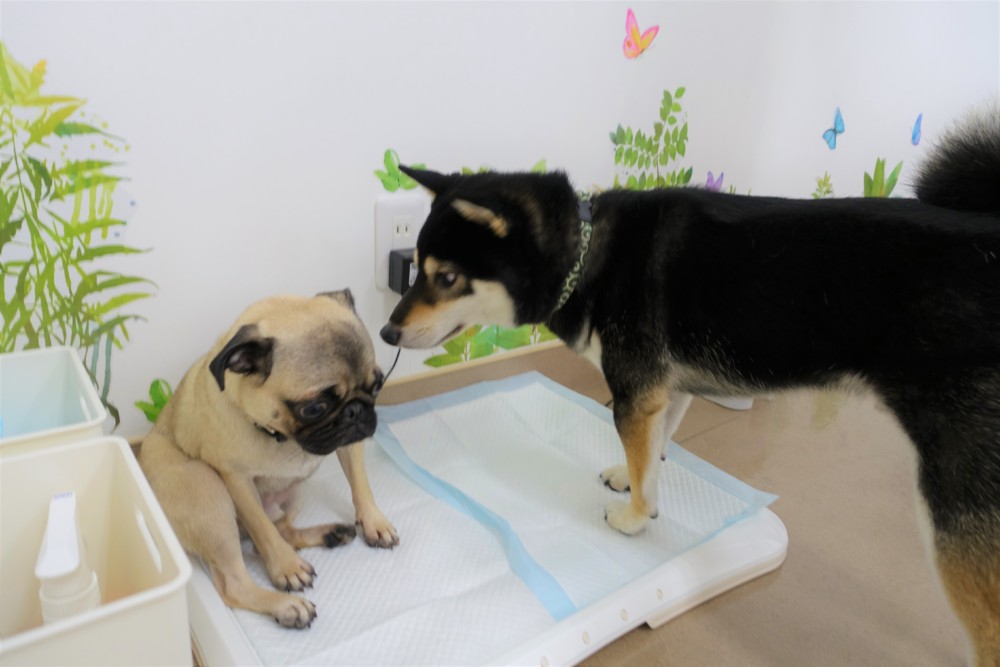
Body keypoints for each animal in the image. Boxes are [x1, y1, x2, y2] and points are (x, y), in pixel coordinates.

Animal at [138, 291, 398, 628]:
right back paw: (286, 605)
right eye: (313, 407)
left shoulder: (349, 445)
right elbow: (263, 530)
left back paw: (330, 534)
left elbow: (360, 485)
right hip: (207, 492)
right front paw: (286, 568)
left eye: (377, 385)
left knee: (284, 530)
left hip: (295, 491)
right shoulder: (236, 481)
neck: (280, 436)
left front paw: (374, 522)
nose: (355, 411)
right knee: (236, 582)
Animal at [380, 106, 1000, 663]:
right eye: (416, 268)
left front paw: (633, 519)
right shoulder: (666, 388)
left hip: (954, 507)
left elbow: (644, 460)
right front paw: (632, 485)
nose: (386, 331)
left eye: (447, 278)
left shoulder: (634, 390)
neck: (588, 253)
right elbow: (653, 453)